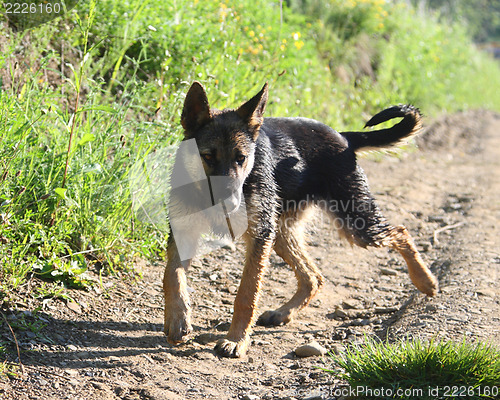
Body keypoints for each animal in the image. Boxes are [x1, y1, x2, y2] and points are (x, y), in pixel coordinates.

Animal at [163, 81, 438, 356]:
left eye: (241, 158)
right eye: (208, 156)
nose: (230, 205)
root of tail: (344, 137)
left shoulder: (260, 236)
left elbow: (247, 293)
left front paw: (236, 340)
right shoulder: (183, 233)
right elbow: (172, 275)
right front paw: (178, 321)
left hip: (356, 226)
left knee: (400, 231)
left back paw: (425, 281)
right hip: (281, 234)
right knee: (313, 277)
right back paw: (283, 312)